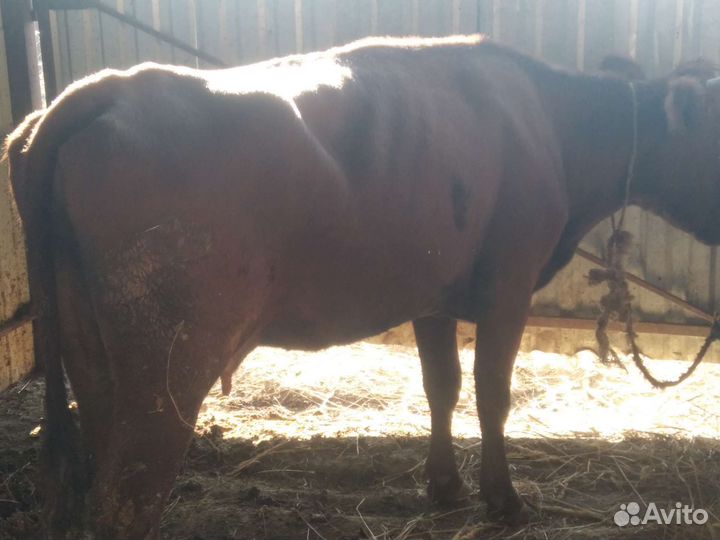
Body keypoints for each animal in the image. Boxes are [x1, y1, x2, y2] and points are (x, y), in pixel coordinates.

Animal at [6, 35, 720, 539]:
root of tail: (103, 89)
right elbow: (492, 395)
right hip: (167, 370)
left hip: (94, 360)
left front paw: (445, 488)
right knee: (125, 500)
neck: (548, 121)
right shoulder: (508, 285)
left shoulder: (433, 293)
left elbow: (442, 387)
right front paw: (505, 501)